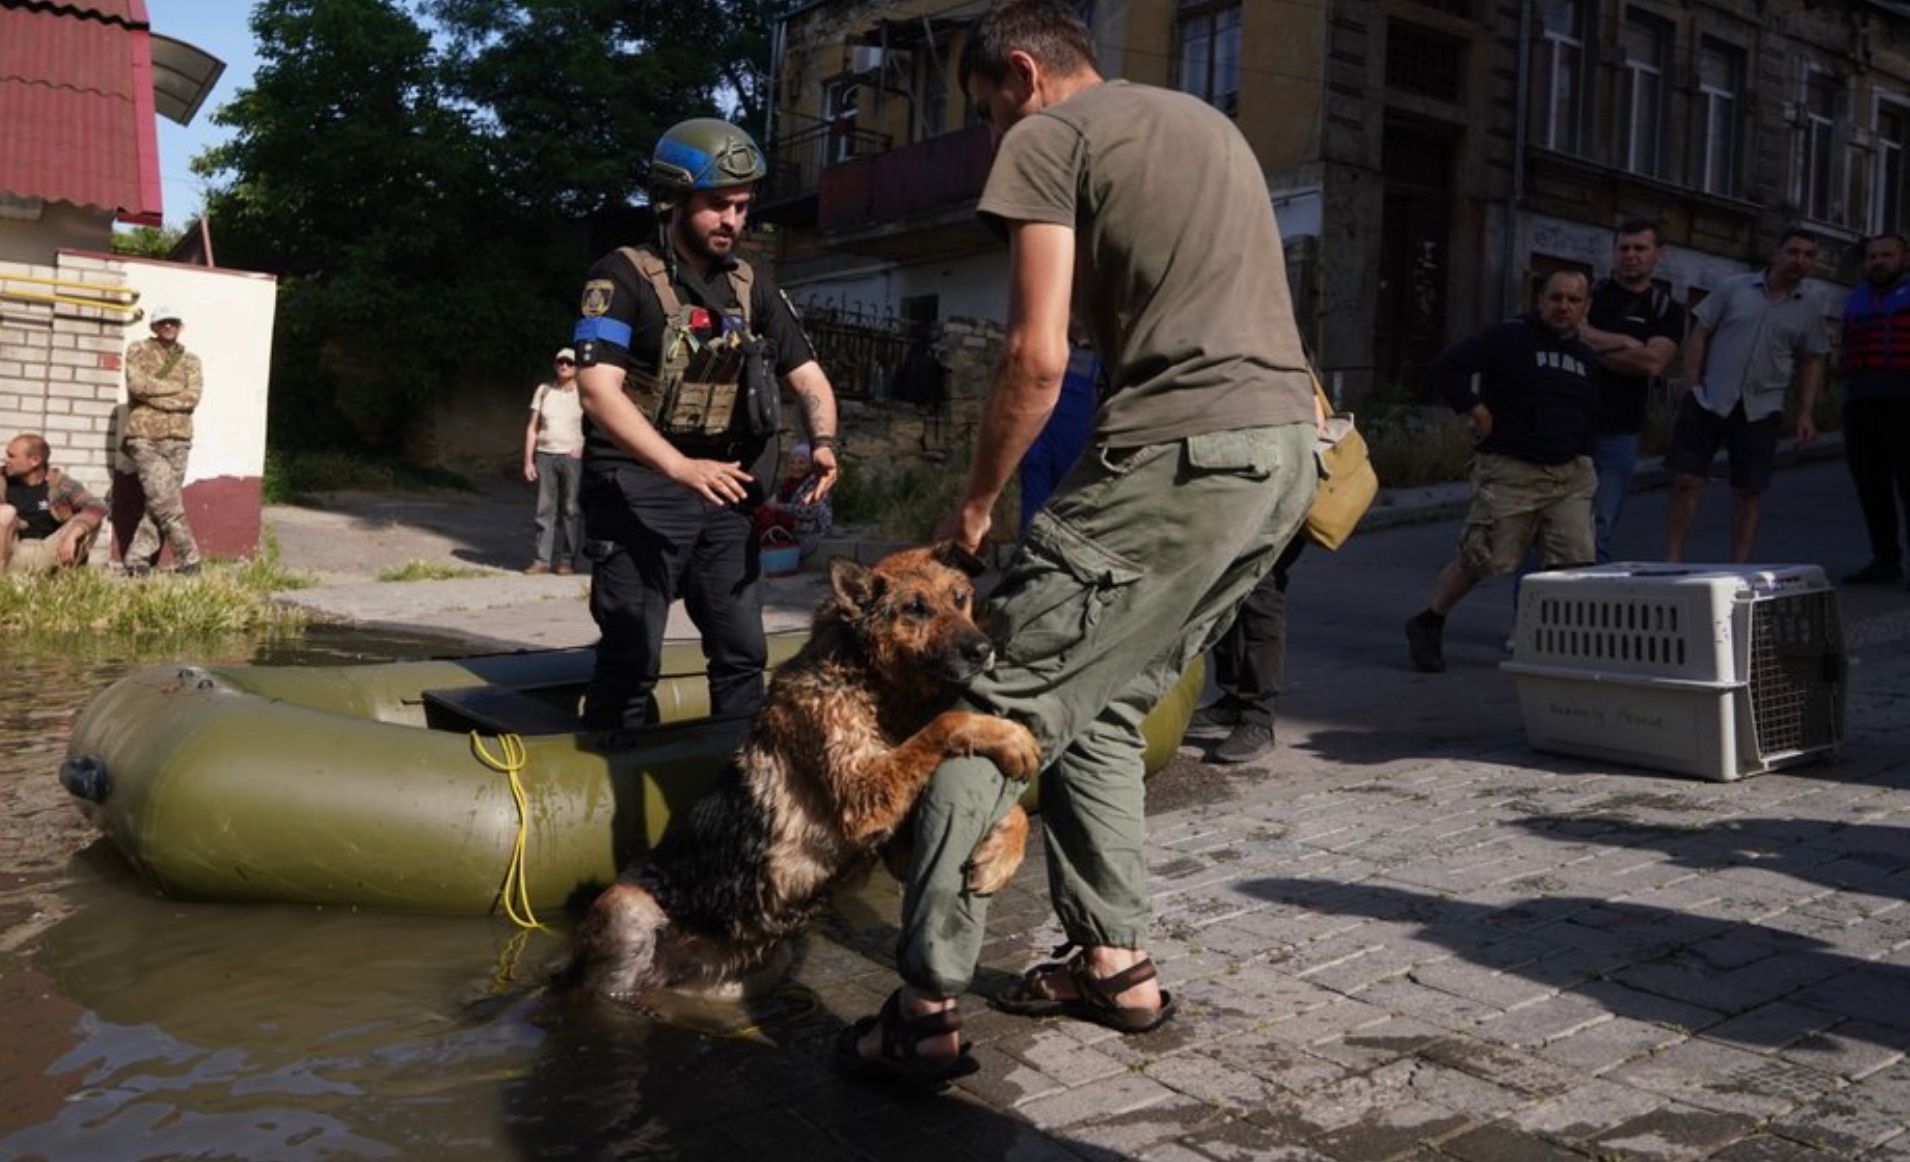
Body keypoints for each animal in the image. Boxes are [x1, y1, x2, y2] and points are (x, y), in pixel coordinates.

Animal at [557, 542, 1039, 1001]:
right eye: (915, 609)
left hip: (754, 972)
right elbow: (944, 723)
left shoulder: (899, 844)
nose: (983, 650)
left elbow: (1012, 811)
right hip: (628, 910)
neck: (868, 679)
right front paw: (1009, 734)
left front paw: (999, 856)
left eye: (960, 598)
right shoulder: (862, 795)